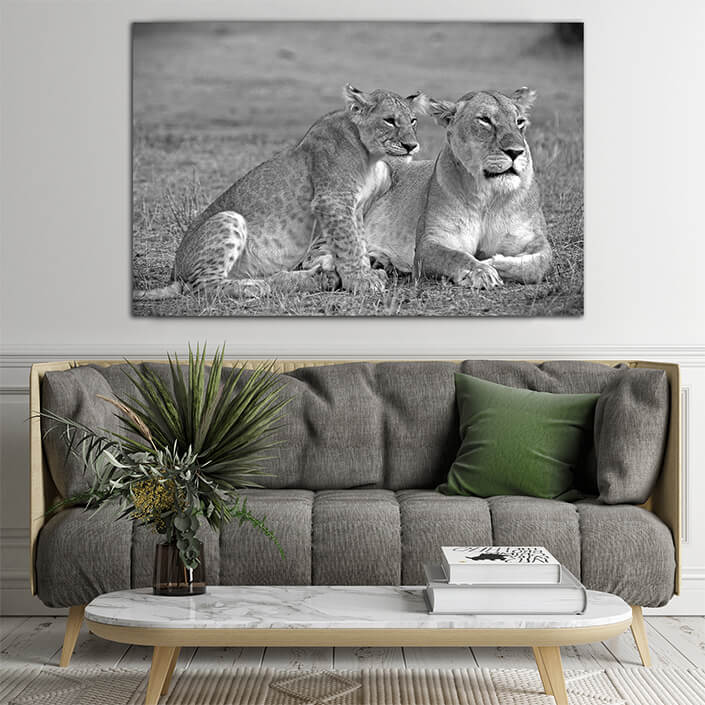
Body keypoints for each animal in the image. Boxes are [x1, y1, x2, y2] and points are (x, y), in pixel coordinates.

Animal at [133, 85, 426, 300]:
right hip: (229, 219)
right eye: (389, 121)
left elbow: (358, 242)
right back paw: (257, 287)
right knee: (203, 285)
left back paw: (316, 278)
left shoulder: (354, 207)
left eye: (413, 121)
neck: (371, 156)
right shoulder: (332, 200)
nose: (411, 146)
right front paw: (362, 281)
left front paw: (365, 272)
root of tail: (174, 273)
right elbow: (350, 244)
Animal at [363, 88, 552, 289]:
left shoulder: (533, 238)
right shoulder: (429, 243)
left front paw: (492, 262)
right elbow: (456, 256)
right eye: (484, 120)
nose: (516, 152)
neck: (488, 196)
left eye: (520, 121)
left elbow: (538, 265)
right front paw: (482, 271)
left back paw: (380, 261)